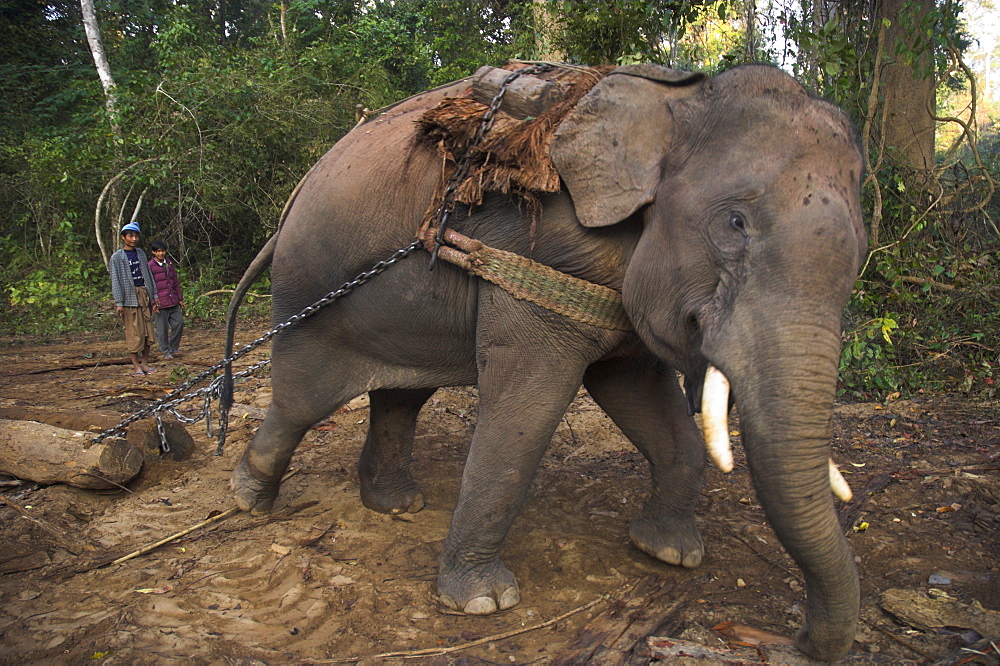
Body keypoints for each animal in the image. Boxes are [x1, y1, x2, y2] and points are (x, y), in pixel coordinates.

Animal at [225, 63, 868, 664]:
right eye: (734, 224)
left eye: (861, 251)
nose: (799, 638)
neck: (675, 102)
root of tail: (296, 197)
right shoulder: (543, 252)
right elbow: (526, 415)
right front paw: (483, 603)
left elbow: (642, 398)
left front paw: (670, 554)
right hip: (311, 295)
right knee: (302, 399)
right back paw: (250, 499)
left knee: (400, 395)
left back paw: (395, 504)